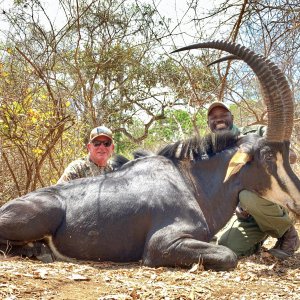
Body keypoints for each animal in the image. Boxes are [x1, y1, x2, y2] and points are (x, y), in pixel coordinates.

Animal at [0, 40, 298, 272]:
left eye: (289, 155)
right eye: (268, 156)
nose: (296, 199)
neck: (192, 182)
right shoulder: (162, 243)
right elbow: (228, 255)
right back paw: (38, 251)